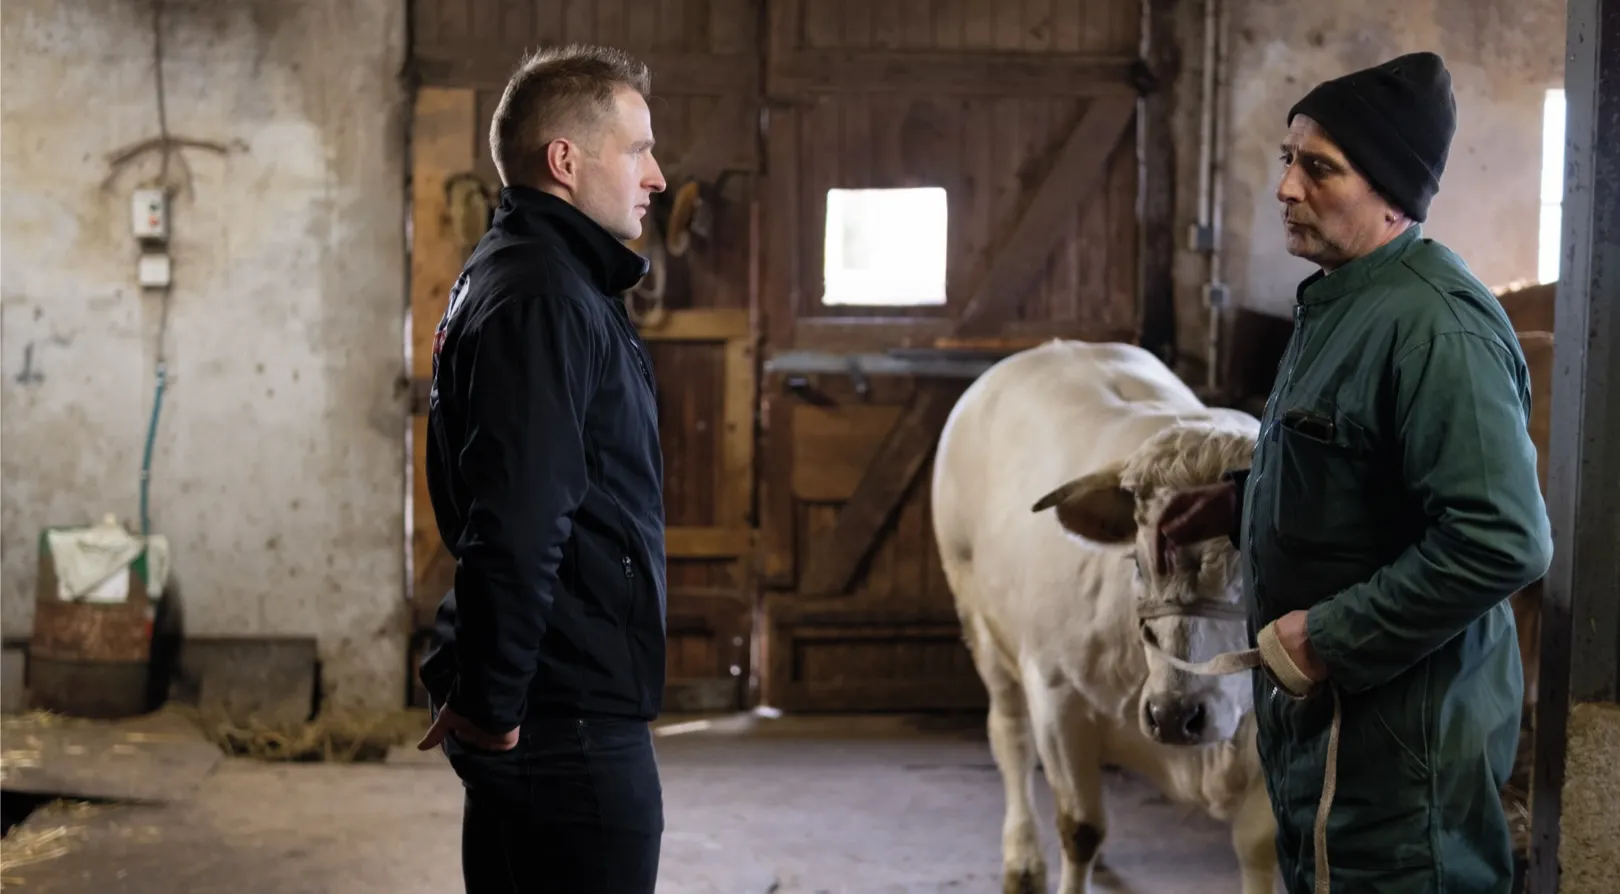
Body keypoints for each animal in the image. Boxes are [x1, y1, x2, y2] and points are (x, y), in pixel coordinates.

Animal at [930, 339, 1276, 894]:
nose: (1174, 714)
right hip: (979, 623)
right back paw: (1022, 857)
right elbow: (1080, 827)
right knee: (1010, 738)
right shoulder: (1058, 699)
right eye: (1137, 561)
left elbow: (1258, 846)